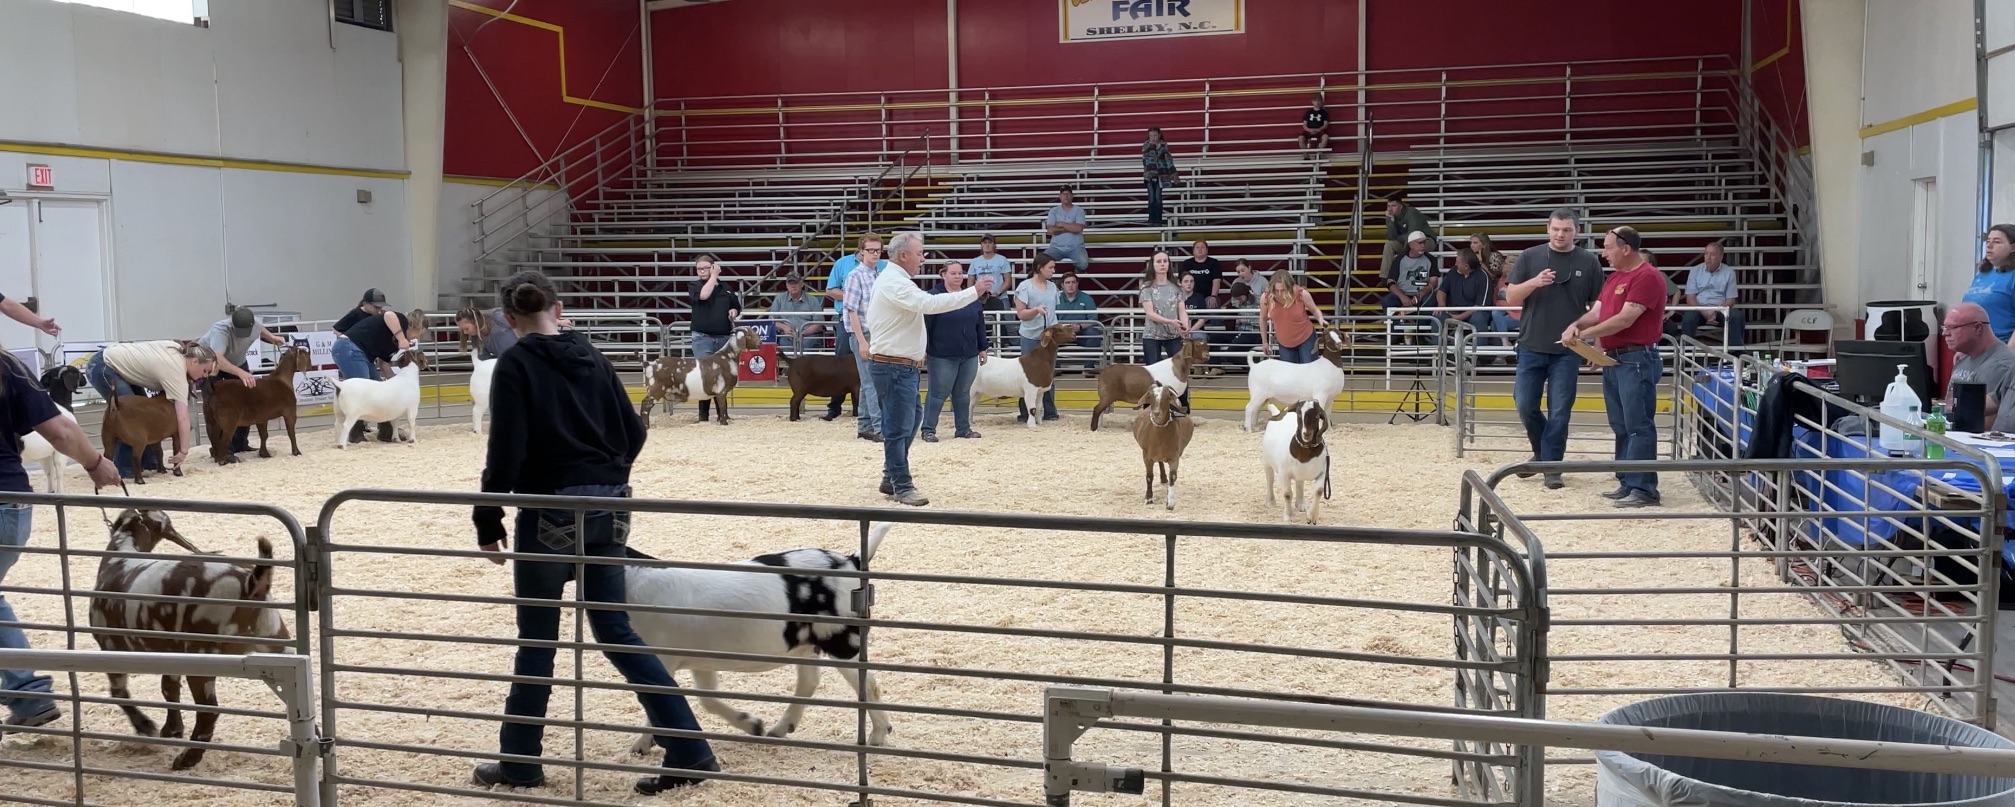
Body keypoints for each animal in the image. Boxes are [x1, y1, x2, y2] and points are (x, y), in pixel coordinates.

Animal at [21, 363, 86, 492]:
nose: (85, 379)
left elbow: (49, 474)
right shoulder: (60, 452)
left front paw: (50, 492)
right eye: (76, 372)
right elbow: (59, 474)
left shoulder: (46, 455)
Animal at [88, 510, 292, 770]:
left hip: (203, 651)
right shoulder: (171, 653)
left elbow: (118, 692)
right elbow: (169, 688)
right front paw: (172, 730)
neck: (118, 560)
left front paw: (146, 726)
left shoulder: (110, 645)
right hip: (277, 640)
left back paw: (187, 759)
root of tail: (251, 585)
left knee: (208, 711)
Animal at [620, 524, 890, 750]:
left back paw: (877, 738)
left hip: (842, 638)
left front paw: (639, 747)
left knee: (868, 682)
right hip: (805, 645)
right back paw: (777, 731)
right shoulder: (700, 660)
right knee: (810, 681)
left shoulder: (661, 655)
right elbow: (706, 697)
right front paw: (755, 726)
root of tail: (852, 560)